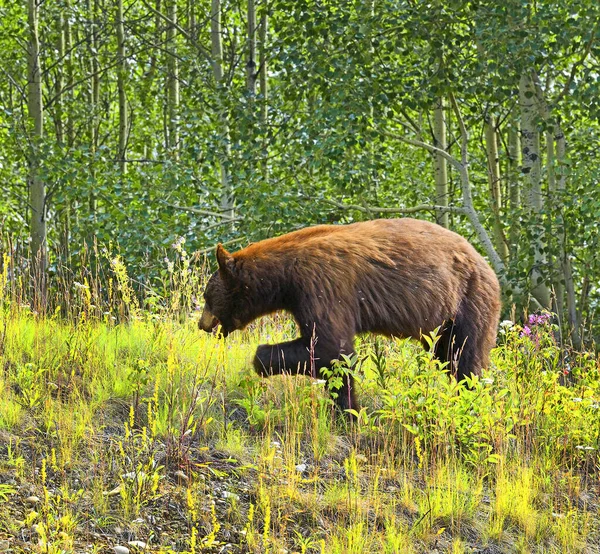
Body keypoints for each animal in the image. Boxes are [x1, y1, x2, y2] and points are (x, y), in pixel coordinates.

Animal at [198, 218, 502, 412]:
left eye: (206, 296)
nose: (202, 325)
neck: (284, 278)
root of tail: (485, 264)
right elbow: (328, 351)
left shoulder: (320, 284)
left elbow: (331, 347)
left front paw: (348, 411)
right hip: (446, 320)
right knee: (448, 355)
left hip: (469, 301)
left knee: (466, 359)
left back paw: (472, 400)